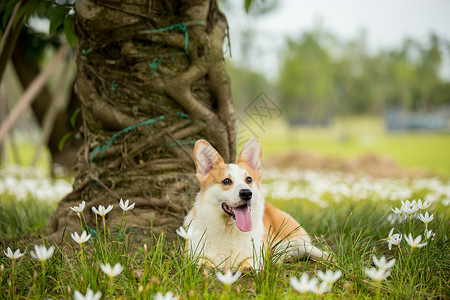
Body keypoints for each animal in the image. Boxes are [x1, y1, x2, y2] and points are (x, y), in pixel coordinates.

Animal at [183, 137, 326, 268]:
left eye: (249, 179)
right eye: (226, 181)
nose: (246, 193)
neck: (229, 229)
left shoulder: (257, 254)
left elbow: (250, 261)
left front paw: (247, 268)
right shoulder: (192, 256)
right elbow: (202, 262)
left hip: (300, 243)